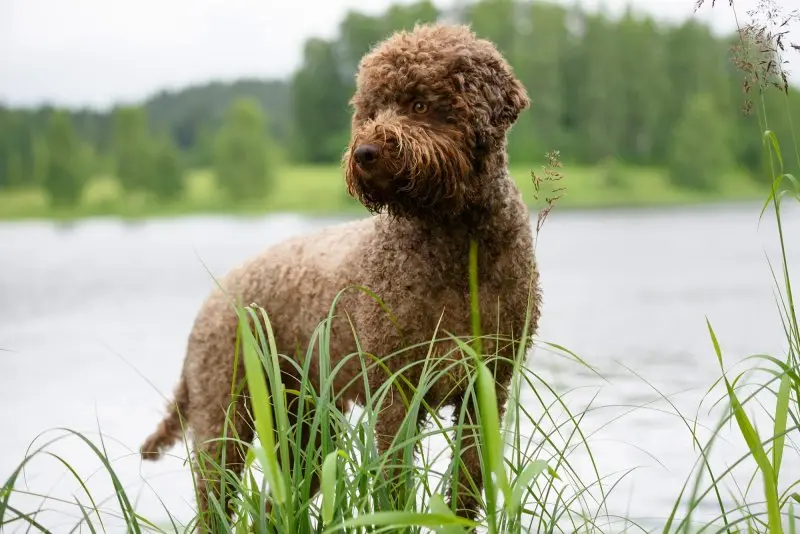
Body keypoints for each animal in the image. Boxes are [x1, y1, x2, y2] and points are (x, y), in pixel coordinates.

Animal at [141, 22, 544, 532]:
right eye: (370, 109)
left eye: (418, 104)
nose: (366, 151)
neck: (458, 247)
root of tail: (214, 295)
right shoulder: (395, 392)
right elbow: (396, 491)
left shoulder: (488, 386)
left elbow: (467, 485)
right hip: (227, 419)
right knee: (215, 502)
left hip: (308, 431)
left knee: (275, 506)